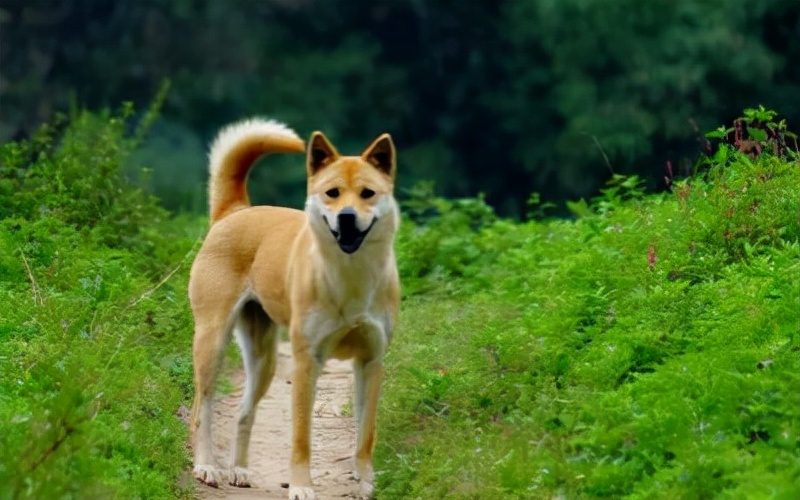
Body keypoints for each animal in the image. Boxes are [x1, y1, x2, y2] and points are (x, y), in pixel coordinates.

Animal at [188, 118, 400, 500]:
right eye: (332, 193)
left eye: (368, 193)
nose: (347, 218)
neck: (350, 277)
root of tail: (236, 211)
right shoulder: (306, 363)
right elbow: (301, 438)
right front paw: (301, 486)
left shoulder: (371, 362)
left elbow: (366, 434)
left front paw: (365, 483)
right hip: (211, 343)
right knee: (202, 408)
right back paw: (207, 466)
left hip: (264, 360)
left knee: (243, 413)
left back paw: (239, 470)